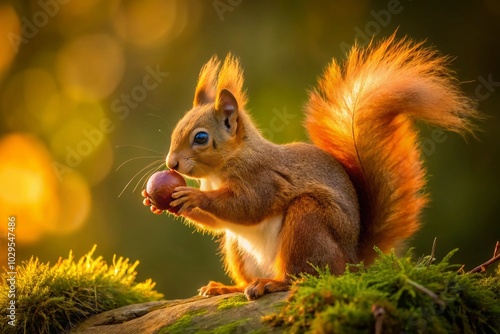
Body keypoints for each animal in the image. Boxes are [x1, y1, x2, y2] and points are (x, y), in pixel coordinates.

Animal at [143, 34, 478, 300]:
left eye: (201, 137)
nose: (171, 163)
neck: (221, 170)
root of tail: (352, 261)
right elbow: (217, 222)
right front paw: (157, 201)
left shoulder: (264, 179)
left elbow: (247, 207)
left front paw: (194, 197)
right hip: (237, 248)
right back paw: (229, 287)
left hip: (308, 222)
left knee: (302, 276)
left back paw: (271, 284)